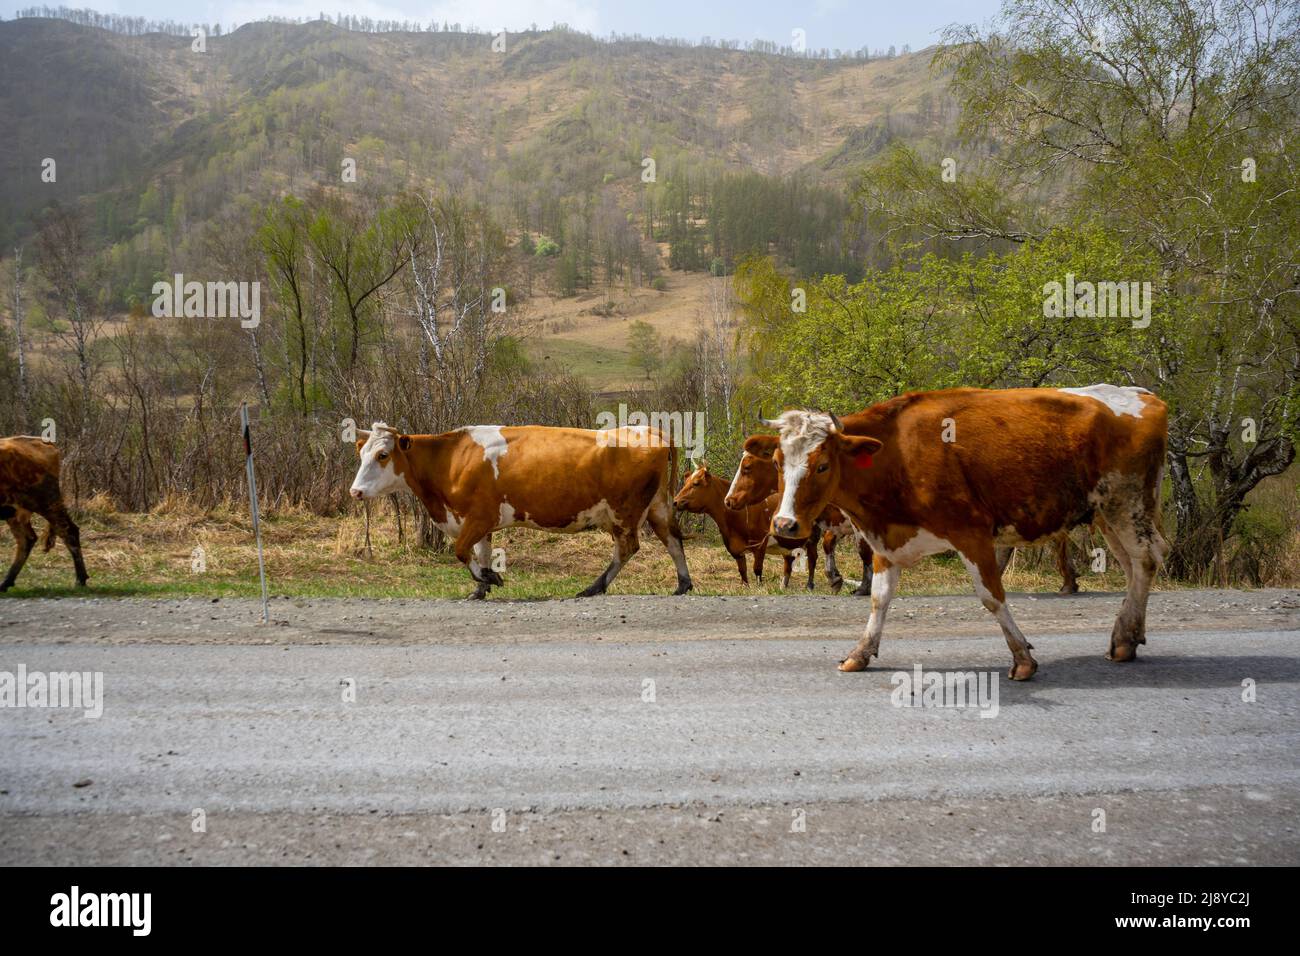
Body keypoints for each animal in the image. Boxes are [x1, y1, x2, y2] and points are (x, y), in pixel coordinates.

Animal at [0, 434, 89, 590]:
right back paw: (6, 582)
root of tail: (40, 441)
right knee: (26, 539)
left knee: (69, 531)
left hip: (46, 504)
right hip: (16, 512)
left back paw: (80, 579)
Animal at [345, 421, 691, 598]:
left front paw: (489, 578)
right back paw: (683, 584)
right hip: (658, 507)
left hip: (623, 513)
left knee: (627, 548)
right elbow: (480, 552)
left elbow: (461, 551)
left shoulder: (479, 517)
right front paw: (480, 588)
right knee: (673, 540)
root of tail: (651, 430)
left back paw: (594, 587)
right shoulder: (477, 522)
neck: (451, 458)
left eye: (383, 455)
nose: (355, 491)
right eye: (361, 454)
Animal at [748, 387, 1175, 681]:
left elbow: (992, 596)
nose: (784, 524)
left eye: (822, 465)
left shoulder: (971, 533)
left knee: (1146, 560)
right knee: (1132, 566)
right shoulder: (886, 539)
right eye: (777, 461)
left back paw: (1124, 638)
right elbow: (879, 599)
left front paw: (1022, 658)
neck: (898, 454)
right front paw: (861, 652)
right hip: (1106, 513)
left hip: (1127, 504)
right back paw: (1127, 634)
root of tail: (1143, 394)